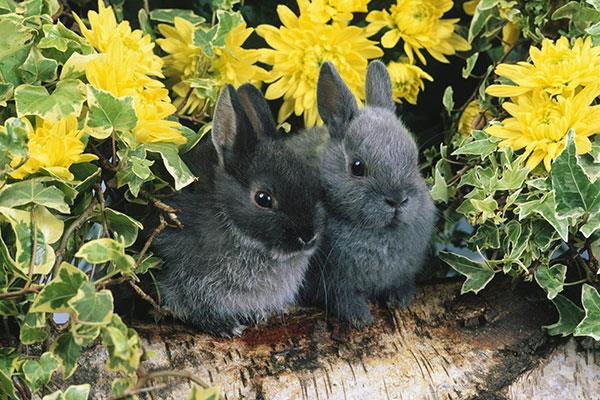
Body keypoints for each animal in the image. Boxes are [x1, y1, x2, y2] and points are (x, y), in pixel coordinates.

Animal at [300, 61, 436, 328]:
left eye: (414, 158)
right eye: (357, 167)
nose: (397, 200)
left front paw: (400, 299)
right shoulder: (330, 282)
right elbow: (342, 297)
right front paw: (360, 317)